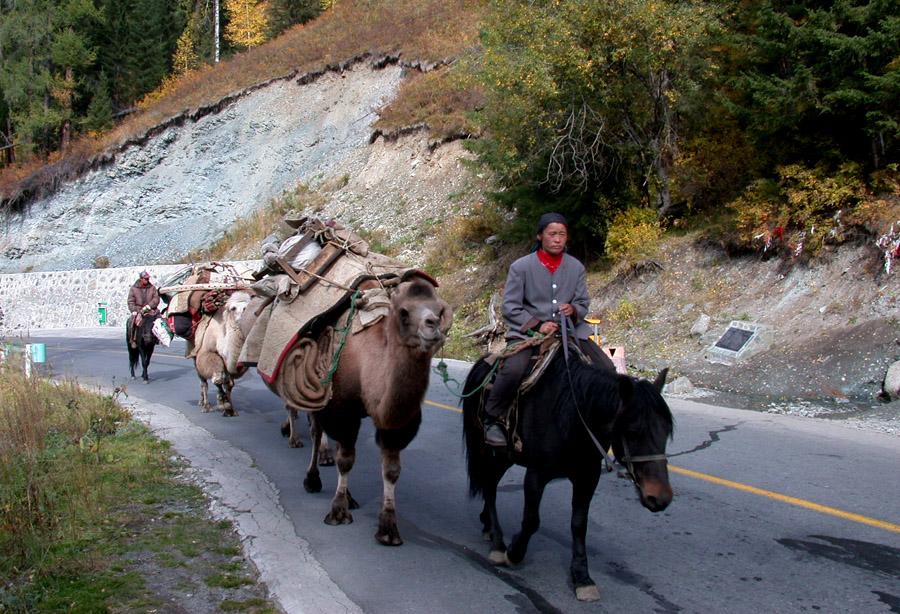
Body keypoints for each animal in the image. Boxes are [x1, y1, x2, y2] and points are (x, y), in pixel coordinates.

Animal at [296, 276, 450, 548]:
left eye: (439, 310)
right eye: (404, 312)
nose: (432, 326)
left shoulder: (394, 425)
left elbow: (391, 469)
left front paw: (388, 528)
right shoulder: (341, 409)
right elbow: (345, 460)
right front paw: (337, 511)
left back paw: (350, 497)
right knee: (317, 432)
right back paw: (313, 479)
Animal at [464, 348, 676, 604]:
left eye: (666, 431)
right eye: (633, 432)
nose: (660, 498)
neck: (573, 417)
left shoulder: (587, 477)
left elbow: (578, 524)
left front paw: (583, 578)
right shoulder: (537, 474)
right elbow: (532, 520)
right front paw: (513, 553)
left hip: (506, 455)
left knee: (491, 482)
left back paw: (487, 526)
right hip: (486, 447)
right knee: (489, 482)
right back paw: (497, 543)